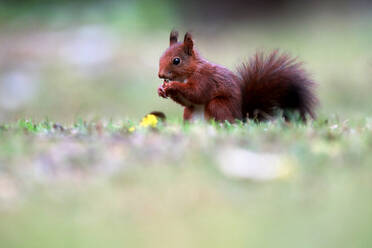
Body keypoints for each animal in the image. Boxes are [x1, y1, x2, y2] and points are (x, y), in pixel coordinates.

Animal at [157, 30, 316, 123]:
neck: (190, 72)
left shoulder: (205, 79)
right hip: (189, 113)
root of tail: (241, 118)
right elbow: (187, 101)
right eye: (161, 57)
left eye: (176, 61)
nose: (160, 75)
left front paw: (172, 86)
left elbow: (197, 93)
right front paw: (161, 90)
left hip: (218, 105)